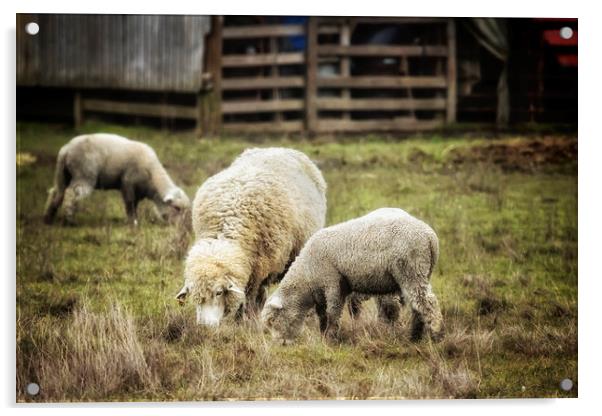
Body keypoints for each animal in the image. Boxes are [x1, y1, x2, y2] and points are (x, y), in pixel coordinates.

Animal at [43, 133, 189, 226]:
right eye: (177, 208)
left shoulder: (137, 190)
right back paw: (69, 221)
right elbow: (130, 204)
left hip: (63, 174)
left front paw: (134, 220)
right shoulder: (128, 183)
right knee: (71, 194)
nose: (183, 227)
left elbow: (135, 205)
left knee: (56, 193)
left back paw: (48, 218)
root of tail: (66, 149)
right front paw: (133, 222)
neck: (152, 178)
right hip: (83, 174)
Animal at [176, 148, 326, 326]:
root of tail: (278, 148)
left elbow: (249, 298)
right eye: (195, 295)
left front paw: (244, 321)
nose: (206, 326)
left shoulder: (258, 269)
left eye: (219, 292)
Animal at [262, 206, 440, 342]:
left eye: (273, 321)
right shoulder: (322, 291)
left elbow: (332, 313)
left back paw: (437, 335)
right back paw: (415, 337)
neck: (307, 273)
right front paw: (323, 336)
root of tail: (430, 236)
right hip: (421, 272)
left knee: (427, 302)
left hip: (411, 269)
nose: (280, 344)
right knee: (417, 305)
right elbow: (322, 315)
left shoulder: (332, 282)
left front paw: (330, 339)